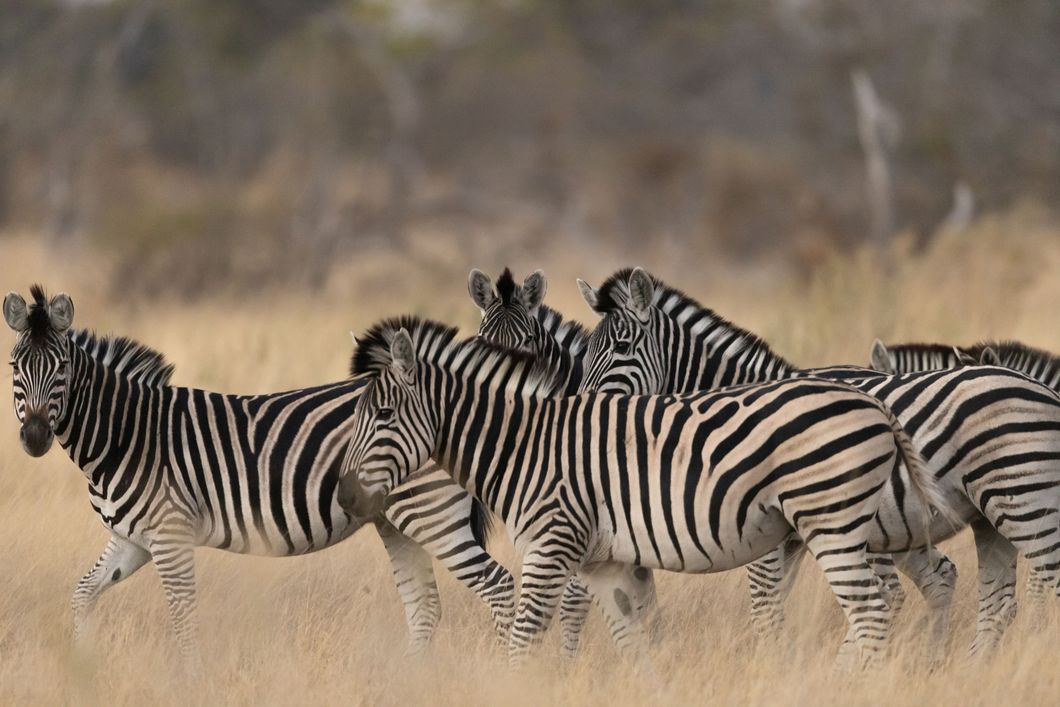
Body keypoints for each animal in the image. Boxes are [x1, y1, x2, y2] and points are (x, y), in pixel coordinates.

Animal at [3, 286, 515, 668]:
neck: (127, 435)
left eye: (62, 368)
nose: (34, 437)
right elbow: (82, 595)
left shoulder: (170, 537)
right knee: (425, 606)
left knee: (499, 587)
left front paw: (190, 684)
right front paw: (82, 667)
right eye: (14, 367)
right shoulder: (133, 540)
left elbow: (183, 622)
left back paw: (502, 674)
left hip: (430, 511)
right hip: (395, 521)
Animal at [340, 315, 958, 669]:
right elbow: (630, 641)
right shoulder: (603, 562)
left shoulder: (550, 546)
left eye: (384, 415)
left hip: (832, 523)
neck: (526, 446)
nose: (344, 496)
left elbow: (523, 639)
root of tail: (873, 400)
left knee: (873, 613)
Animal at [575, 267, 1060, 657]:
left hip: (1022, 502)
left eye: (621, 347)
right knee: (983, 596)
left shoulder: (773, 538)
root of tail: (1044, 391)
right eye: (589, 348)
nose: (584, 407)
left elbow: (766, 611)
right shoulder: (792, 538)